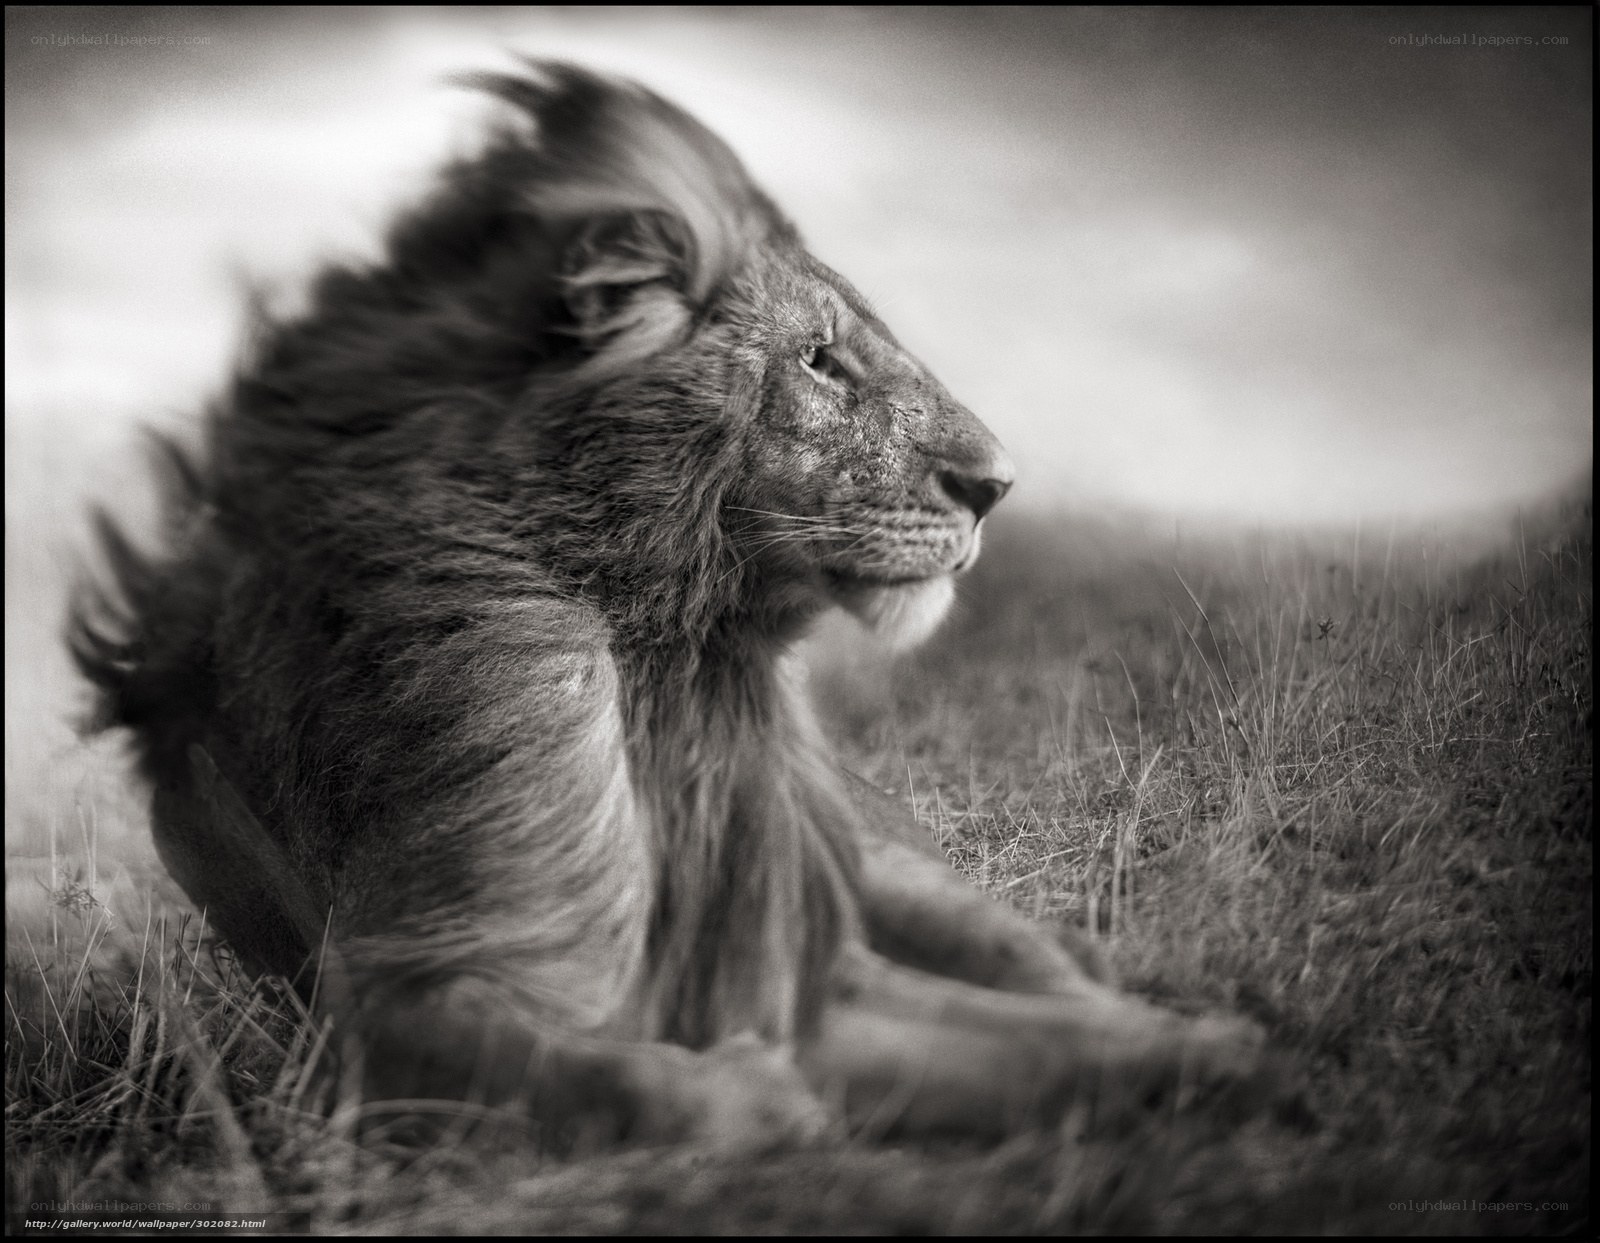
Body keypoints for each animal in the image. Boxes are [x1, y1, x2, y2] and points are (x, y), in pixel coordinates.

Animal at [70, 61, 1264, 1147]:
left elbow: (1058, 1039)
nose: (996, 486)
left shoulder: (804, 965)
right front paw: (758, 1098)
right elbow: (618, 1079)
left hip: (885, 865)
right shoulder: (388, 1008)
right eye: (819, 360)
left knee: (1037, 955)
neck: (670, 656)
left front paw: (1228, 1050)